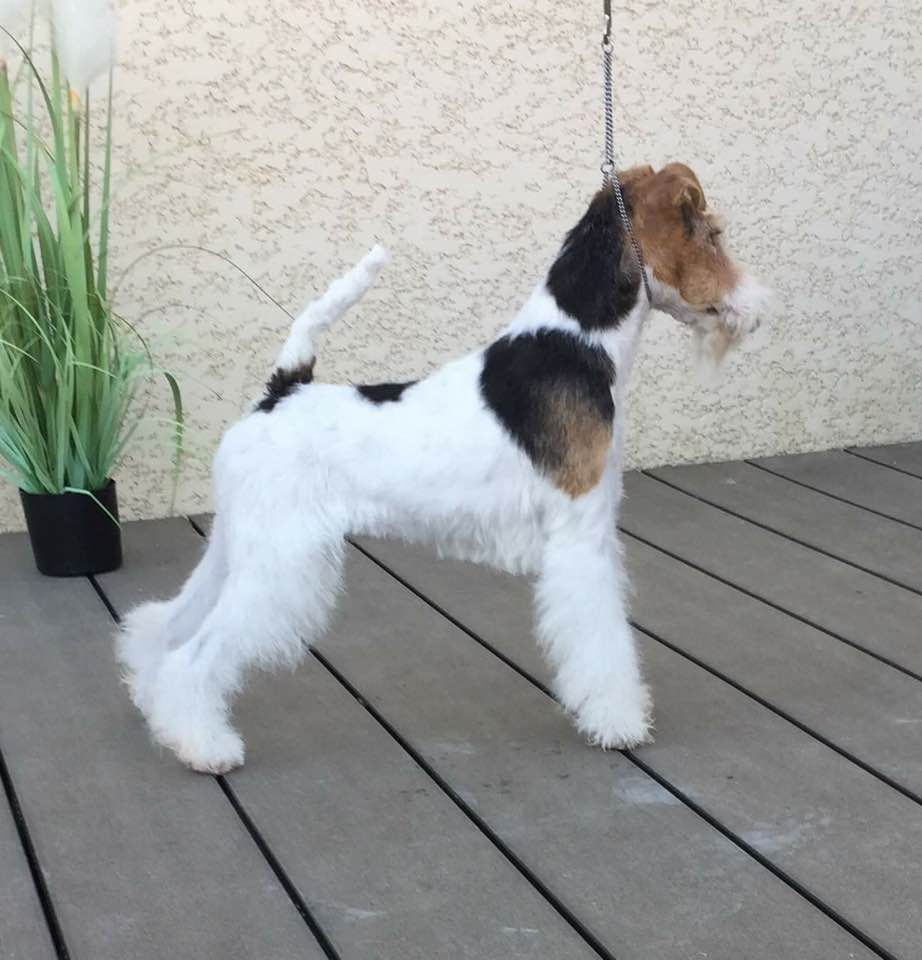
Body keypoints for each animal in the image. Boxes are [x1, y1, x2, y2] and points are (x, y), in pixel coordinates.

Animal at [117, 163, 768, 773]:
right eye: (712, 234)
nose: (761, 308)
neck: (577, 342)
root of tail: (279, 392)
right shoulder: (582, 535)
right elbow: (601, 639)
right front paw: (618, 720)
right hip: (278, 558)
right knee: (196, 653)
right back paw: (205, 745)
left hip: (238, 545)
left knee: (168, 624)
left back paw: (156, 702)